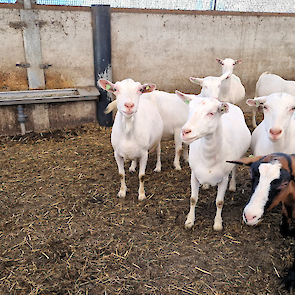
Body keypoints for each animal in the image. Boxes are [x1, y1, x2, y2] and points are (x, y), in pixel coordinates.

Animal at [177, 91, 251, 230]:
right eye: (189, 109)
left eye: (211, 113)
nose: (185, 132)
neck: (208, 158)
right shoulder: (194, 174)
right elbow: (193, 199)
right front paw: (189, 221)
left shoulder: (223, 178)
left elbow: (219, 202)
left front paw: (217, 224)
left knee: (234, 169)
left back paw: (232, 186)